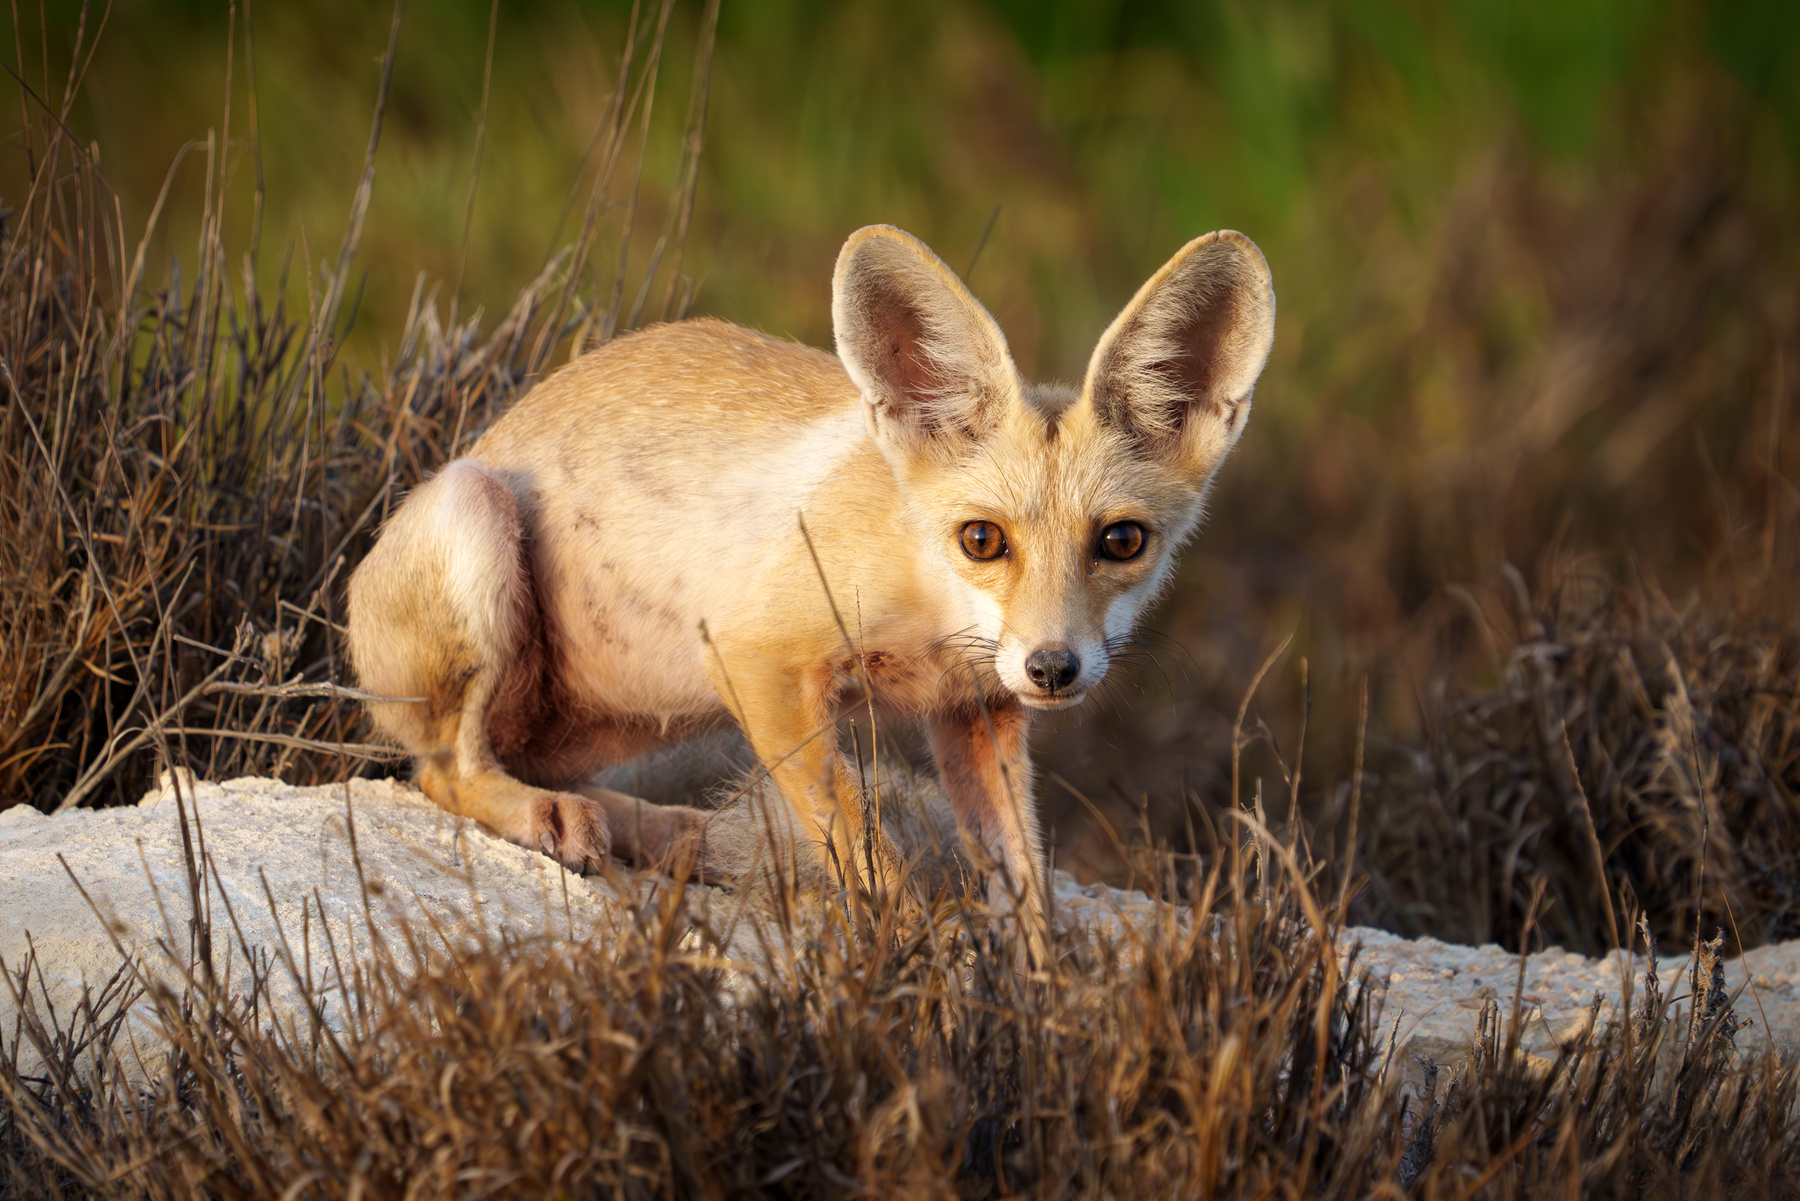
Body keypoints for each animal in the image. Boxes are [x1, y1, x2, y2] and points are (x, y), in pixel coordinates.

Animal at [345, 224, 1275, 924]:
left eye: (1122, 541)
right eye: (982, 539)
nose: (1053, 667)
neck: (927, 598)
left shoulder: (978, 710)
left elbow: (1024, 887)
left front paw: (1036, 1015)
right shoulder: (754, 656)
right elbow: (870, 855)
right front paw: (926, 979)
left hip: (624, 719)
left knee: (545, 773)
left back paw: (666, 832)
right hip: (479, 524)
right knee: (445, 771)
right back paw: (556, 820)